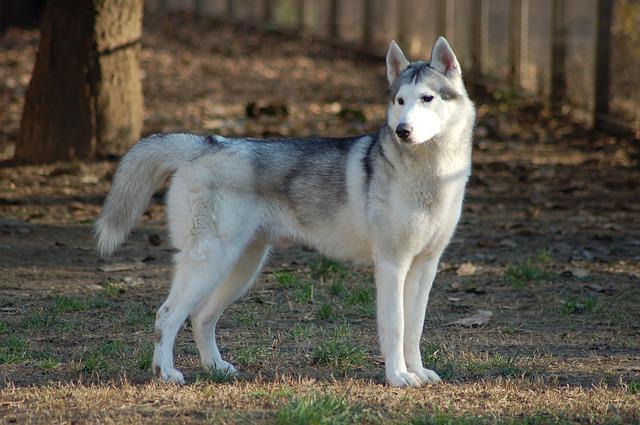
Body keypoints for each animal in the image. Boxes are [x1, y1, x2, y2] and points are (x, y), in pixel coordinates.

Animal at [96, 38, 476, 386]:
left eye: (427, 98)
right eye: (400, 101)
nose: (402, 131)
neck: (431, 175)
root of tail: (207, 144)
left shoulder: (425, 266)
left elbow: (414, 328)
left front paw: (417, 372)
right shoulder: (391, 264)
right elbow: (395, 327)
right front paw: (398, 376)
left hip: (242, 267)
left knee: (201, 317)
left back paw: (215, 368)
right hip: (210, 263)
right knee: (166, 315)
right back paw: (166, 372)